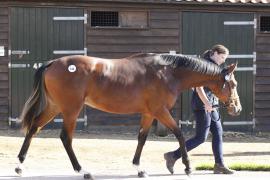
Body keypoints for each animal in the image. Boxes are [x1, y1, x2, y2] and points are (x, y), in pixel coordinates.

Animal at [15, 52, 242, 179]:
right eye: (233, 84)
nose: (236, 109)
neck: (168, 73)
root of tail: (53, 63)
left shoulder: (149, 113)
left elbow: (142, 138)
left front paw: (139, 169)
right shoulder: (160, 110)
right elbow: (178, 133)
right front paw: (186, 167)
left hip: (55, 107)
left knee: (34, 127)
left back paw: (19, 166)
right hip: (71, 109)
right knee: (65, 137)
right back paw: (83, 171)